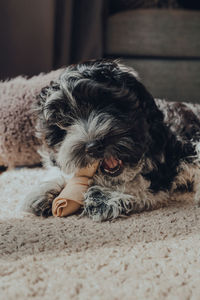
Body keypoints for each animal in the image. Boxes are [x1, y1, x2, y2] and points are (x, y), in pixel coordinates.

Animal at [23, 59, 200, 221]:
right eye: (64, 122)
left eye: (105, 104)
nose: (93, 147)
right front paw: (45, 190)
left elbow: (138, 183)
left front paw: (104, 197)